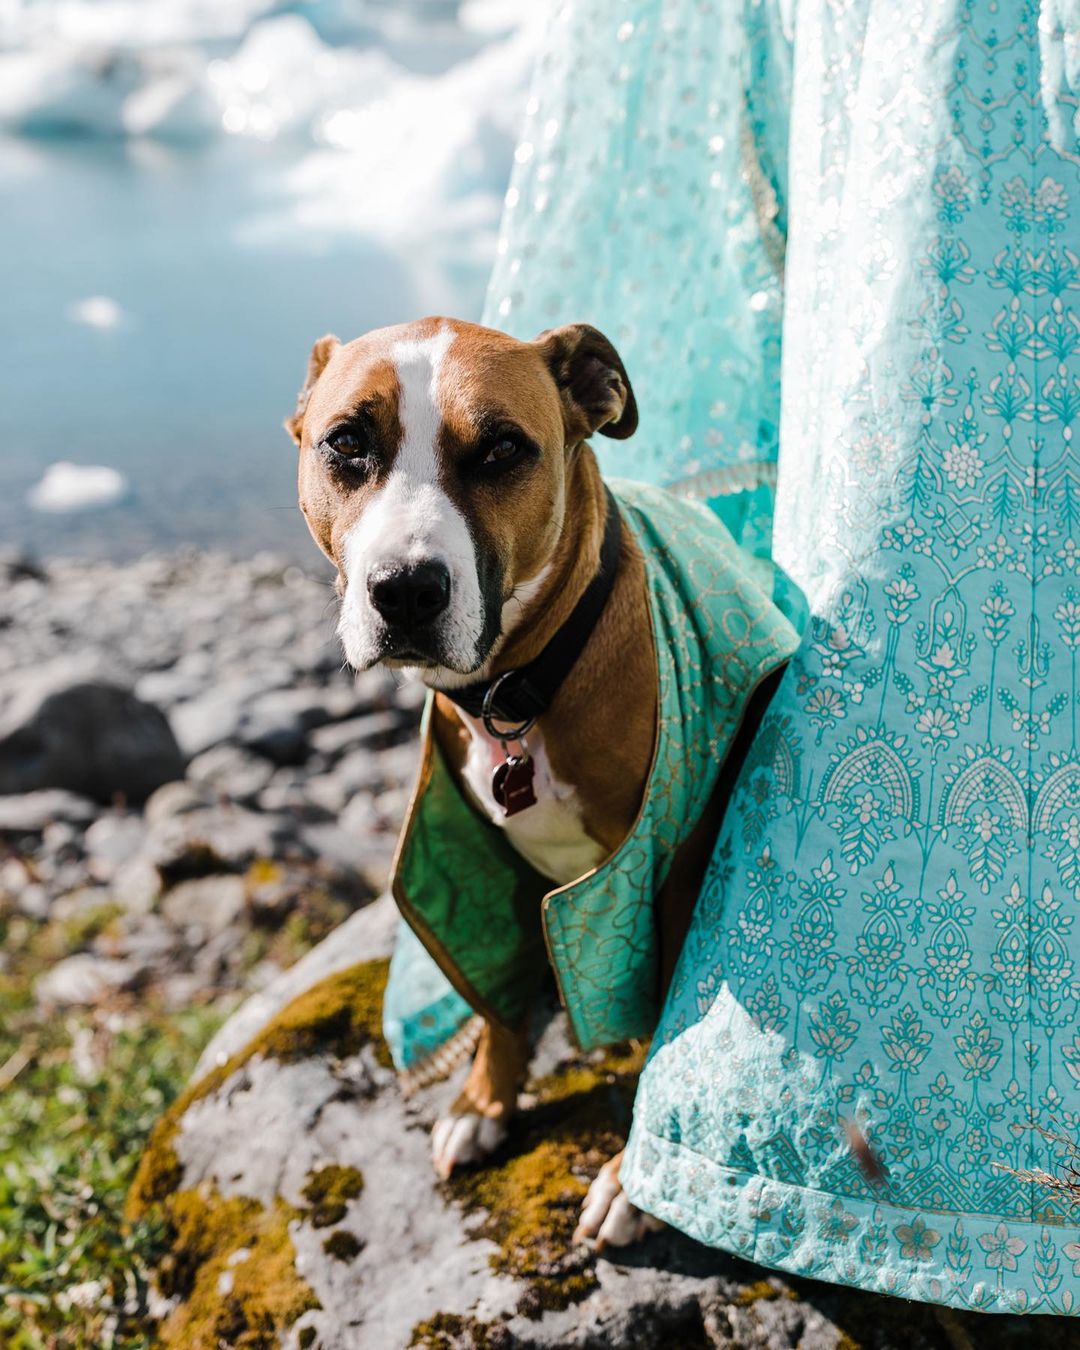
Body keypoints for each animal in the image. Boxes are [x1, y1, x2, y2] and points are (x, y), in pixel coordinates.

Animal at [286, 315, 793, 1242]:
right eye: (346, 444)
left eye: (501, 450)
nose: (404, 590)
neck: (519, 693)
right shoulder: (489, 868)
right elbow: (497, 997)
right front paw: (485, 1100)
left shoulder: (673, 874)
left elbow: (667, 1031)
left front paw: (632, 1183)